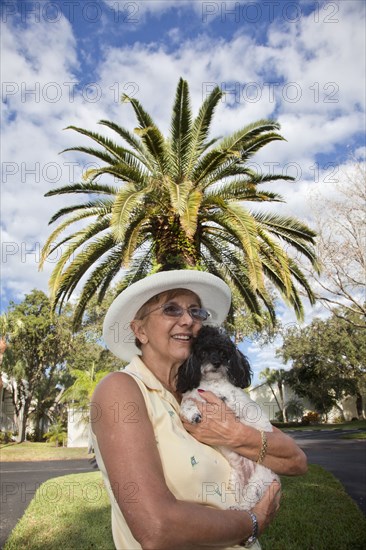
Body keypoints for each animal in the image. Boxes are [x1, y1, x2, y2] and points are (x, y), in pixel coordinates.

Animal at [178, 328, 280, 512]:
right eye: (203, 352)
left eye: (223, 353)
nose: (216, 362)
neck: (210, 384)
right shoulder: (191, 395)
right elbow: (187, 402)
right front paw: (192, 413)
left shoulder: (228, 402)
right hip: (236, 481)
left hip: (260, 480)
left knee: (250, 502)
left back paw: (241, 509)